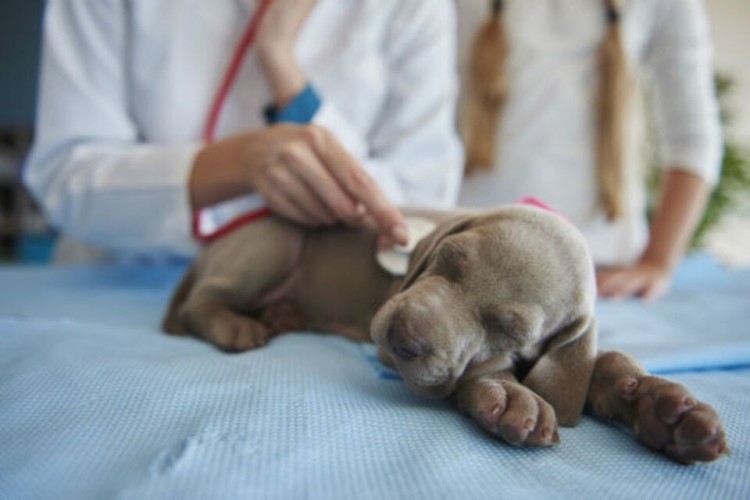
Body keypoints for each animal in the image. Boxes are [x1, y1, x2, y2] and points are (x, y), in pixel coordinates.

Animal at [160, 204, 728, 464]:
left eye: (511, 329)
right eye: (448, 261)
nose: (403, 339)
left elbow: (597, 362)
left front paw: (665, 409)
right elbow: (482, 375)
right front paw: (509, 395)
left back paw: (281, 315)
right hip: (272, 243)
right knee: (201, 301)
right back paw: (237, 325)